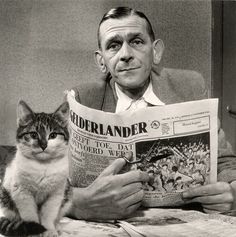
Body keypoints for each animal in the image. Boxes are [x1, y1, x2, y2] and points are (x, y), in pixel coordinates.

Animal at [0, 100, 71, 237]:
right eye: (33, 134)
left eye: (53, 135)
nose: (43, 145)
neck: (42, 167)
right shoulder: (22, 193)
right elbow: (30, 215)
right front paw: (33, 231)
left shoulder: (55, 194)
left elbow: (48, 214)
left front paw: (49, 230)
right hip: (5, 196)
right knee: (14, 217)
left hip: (68, 194)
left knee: (57, 217)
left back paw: (57, 227)